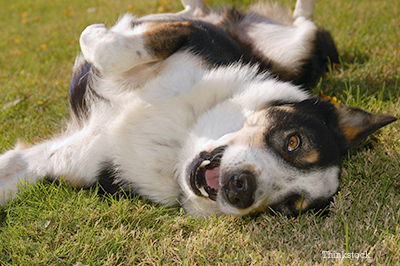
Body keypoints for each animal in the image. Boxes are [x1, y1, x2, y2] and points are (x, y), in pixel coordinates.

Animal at [0, 0, 396, 217]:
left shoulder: (58, 158)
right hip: (293, 50)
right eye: (293, 141)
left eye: (287, 206)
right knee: (299, 19)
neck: (182, 135)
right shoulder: (186, 35)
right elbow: (109, 47)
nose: (241, 190)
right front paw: (99, 31)